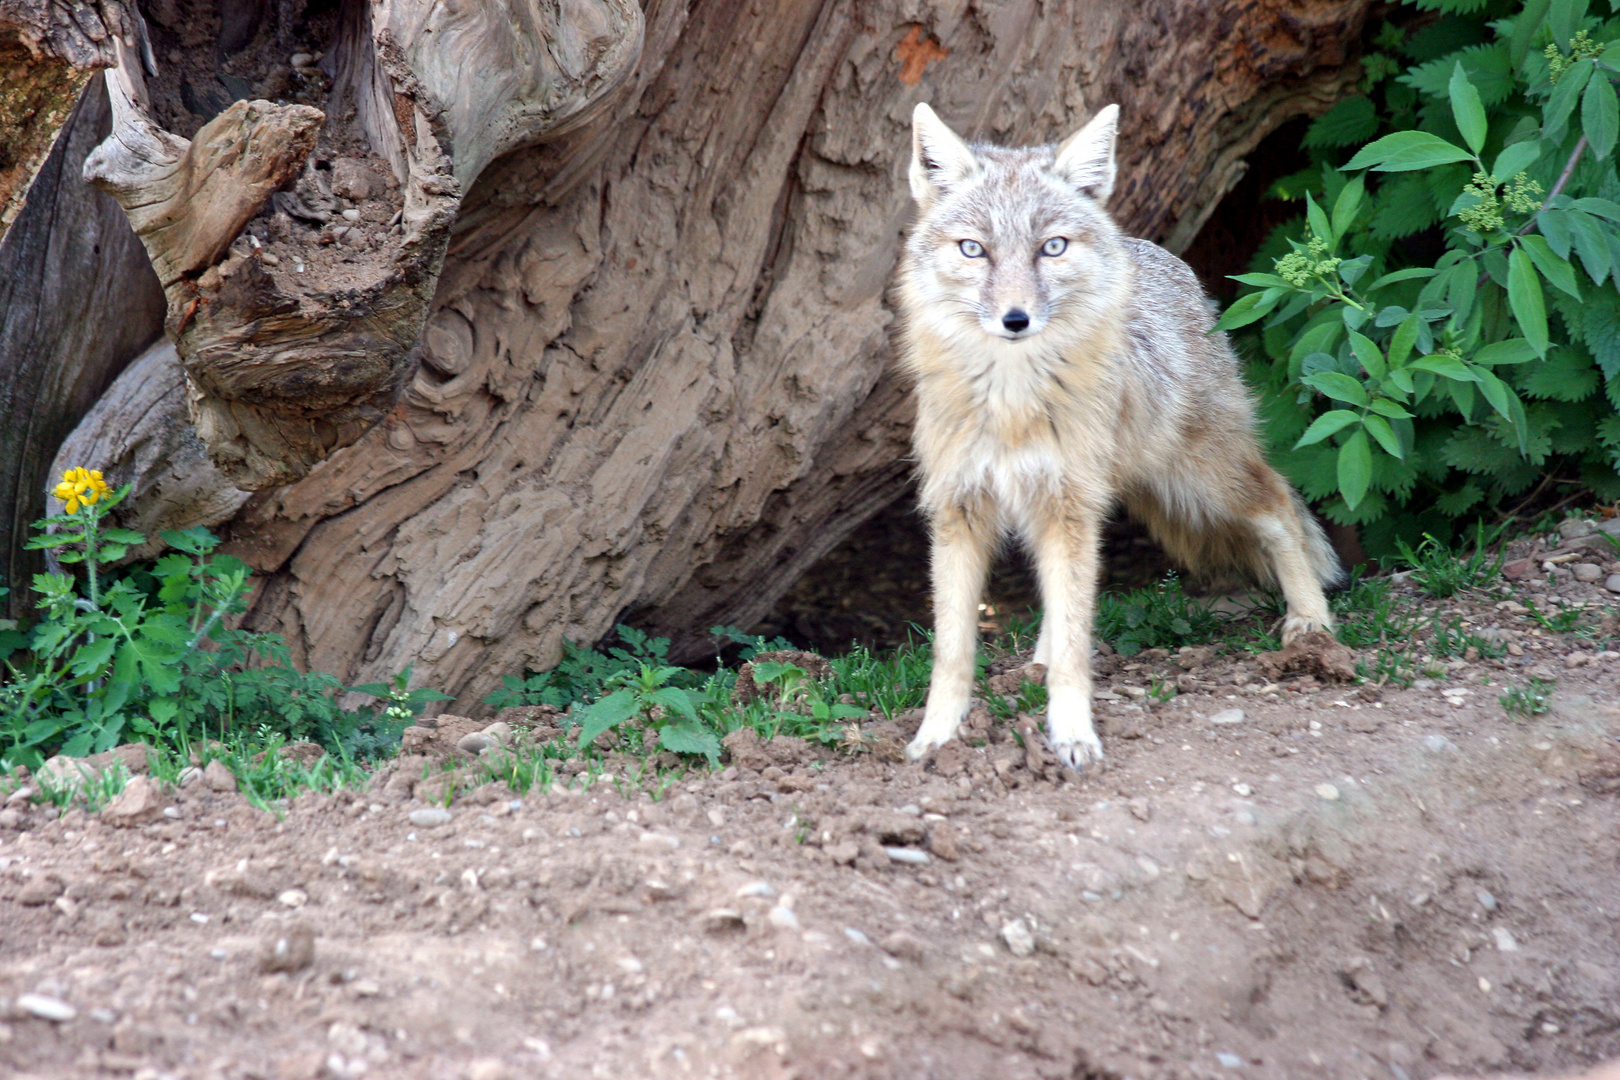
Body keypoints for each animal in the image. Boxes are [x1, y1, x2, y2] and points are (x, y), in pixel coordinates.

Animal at [900, 103, 1341, 767]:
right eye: (974, 250)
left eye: (1051, 247)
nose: (1015, 319)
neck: (1010, 405)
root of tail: (1156, 252)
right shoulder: (960, 510)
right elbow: (953, 652)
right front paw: (938, 737)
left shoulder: (1066, 504)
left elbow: (1076, 648)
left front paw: (1073, 735)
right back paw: (1036, 661)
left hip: (1199, 476)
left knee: (1279, 501)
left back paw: (1311, 623)